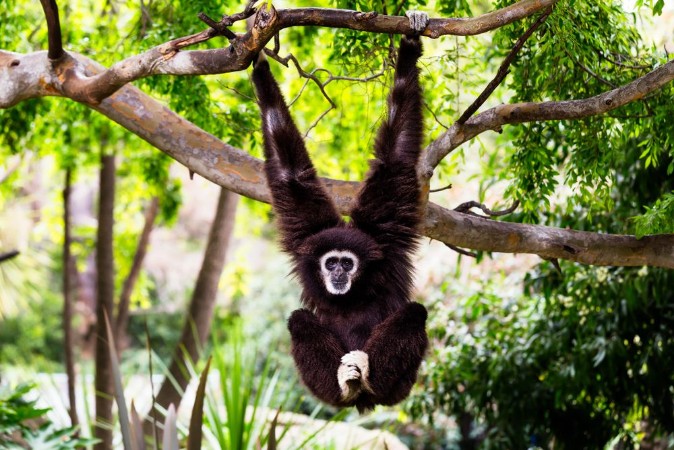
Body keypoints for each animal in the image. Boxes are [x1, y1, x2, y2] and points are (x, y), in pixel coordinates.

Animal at [251, 11, 429, 412]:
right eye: (330, 262)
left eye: (347, 263)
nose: (337, 273)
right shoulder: (308, 232)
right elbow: (289, 172)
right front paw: (260, 68)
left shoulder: (385, 234)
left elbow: (395, 154)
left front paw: (410, 46)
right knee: (299, 320)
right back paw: (344, 387)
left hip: (402, 386)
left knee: (415, 313)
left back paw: (371, 379)